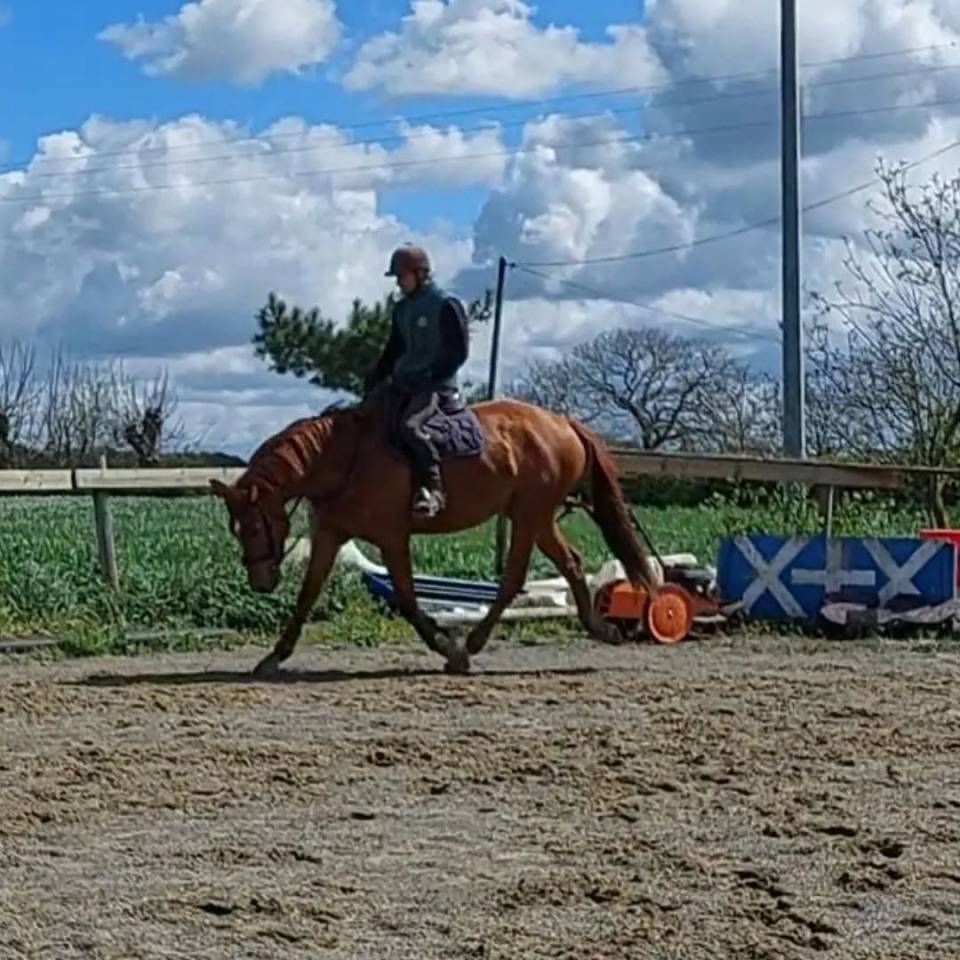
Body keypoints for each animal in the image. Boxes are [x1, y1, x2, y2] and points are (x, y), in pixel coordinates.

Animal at [209, 393, 659, 676]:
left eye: (254, 525)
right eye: (235, 529)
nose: (260, 582)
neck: (344, 458)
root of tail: (562, 422)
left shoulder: (392, 537)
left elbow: (408, 600)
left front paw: (447, 647)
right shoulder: (331, 534)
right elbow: (307, 596)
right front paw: (274, 657)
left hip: (530, 515)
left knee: (514, 577)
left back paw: (471, 645)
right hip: (536, 516)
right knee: (569, 564)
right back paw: (599, 628)